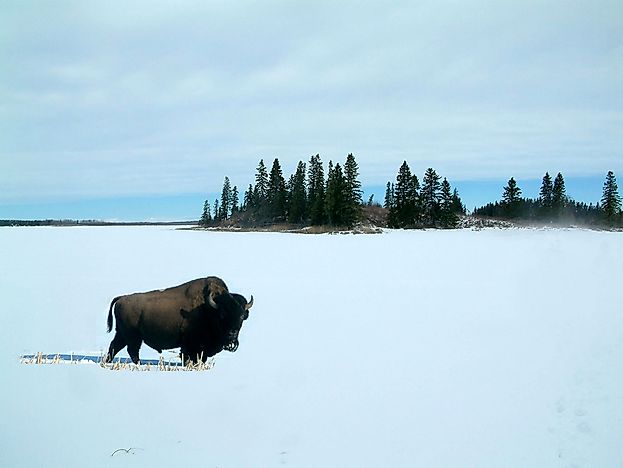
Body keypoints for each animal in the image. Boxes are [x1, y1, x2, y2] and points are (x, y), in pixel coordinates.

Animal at [105, 278, 254, 366]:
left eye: (242, 316)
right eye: (222, 315)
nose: (232, 334)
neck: (209, 308)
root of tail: (121, 299)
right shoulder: (190, 345)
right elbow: (188, 356)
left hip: (122, 334)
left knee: (115, 346)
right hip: (133, 336)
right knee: (132, 350)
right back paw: (138, 364)